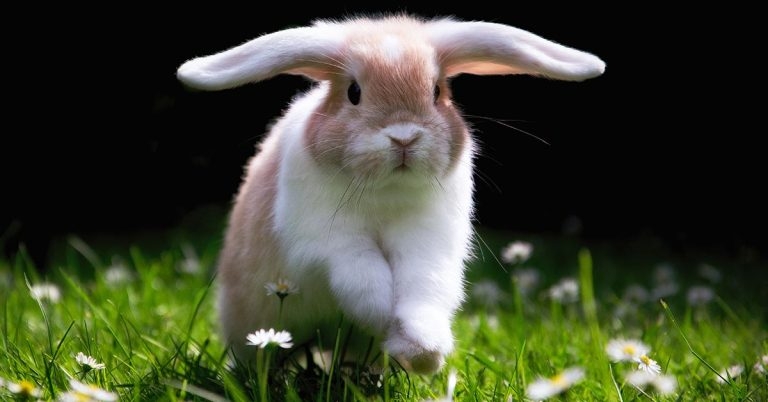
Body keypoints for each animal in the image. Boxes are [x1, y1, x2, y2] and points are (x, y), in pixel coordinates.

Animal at [177, 13, 604, 374]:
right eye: (353, 92)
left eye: (436, 91)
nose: (404, 136)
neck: (385, 190)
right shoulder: (328, 244)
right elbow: (365, 279)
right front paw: (388, 322)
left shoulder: (427, 243)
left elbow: (421, 288)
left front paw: (422, 350)